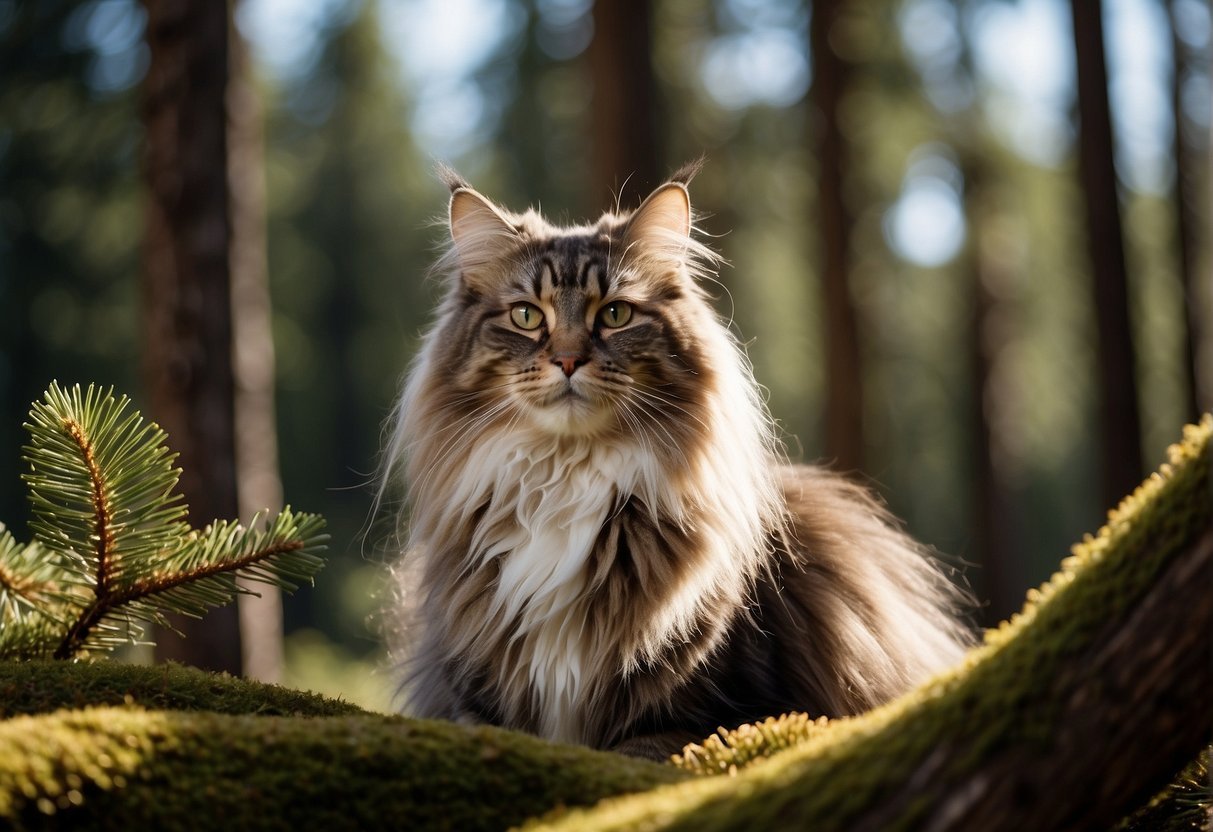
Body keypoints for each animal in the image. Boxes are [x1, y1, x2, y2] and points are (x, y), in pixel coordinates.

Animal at [380, 162, 975, 761]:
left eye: (615, 314)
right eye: (526, 316)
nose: (568, 359)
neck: (567, 481)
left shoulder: (717, 714)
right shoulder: (467, 701)